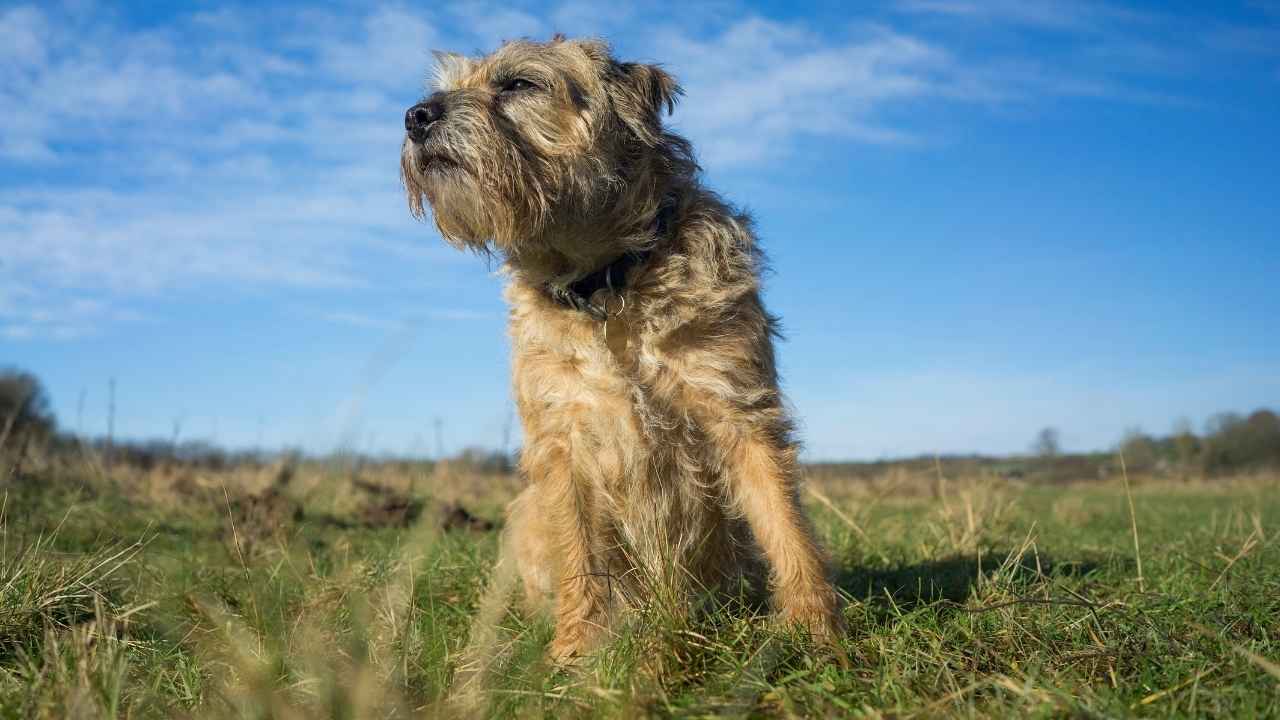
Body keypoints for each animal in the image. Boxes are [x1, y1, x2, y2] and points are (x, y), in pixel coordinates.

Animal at [399, 33, 839, 661]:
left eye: (518, 84)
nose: (416, 116)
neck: (607, 283)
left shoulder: (738, 407)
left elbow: (783, 519)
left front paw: (814, 629)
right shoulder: (563, 440)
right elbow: (579, 551)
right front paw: (577, 649)